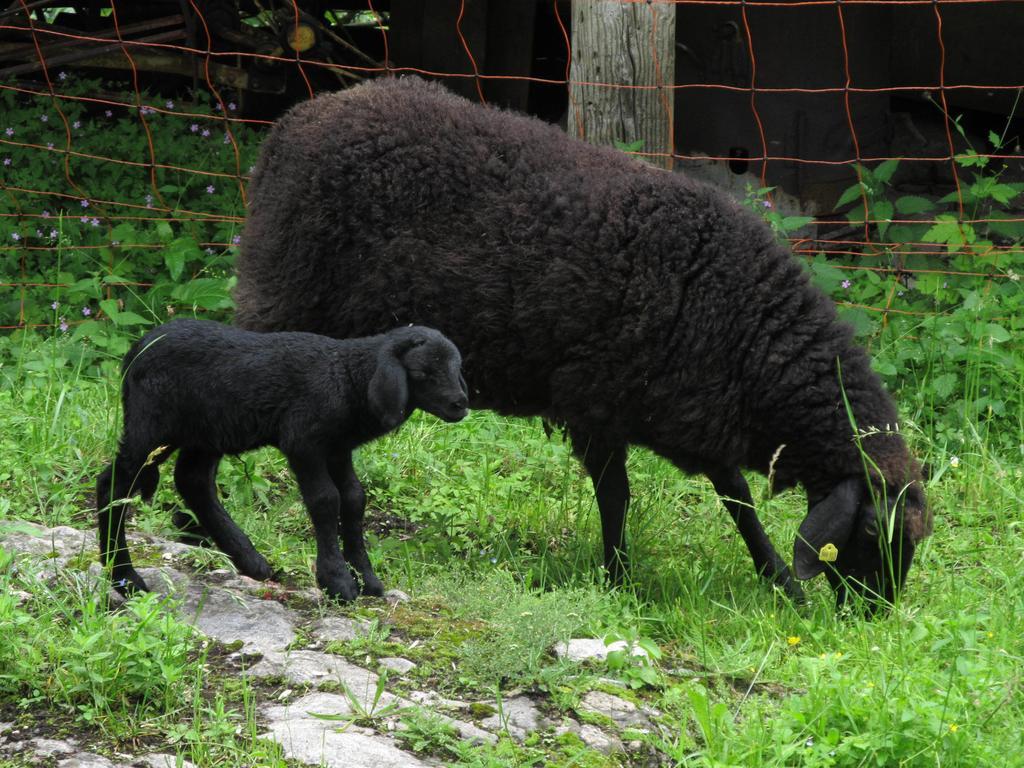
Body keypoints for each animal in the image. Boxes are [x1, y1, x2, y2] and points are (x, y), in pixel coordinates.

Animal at [94, 319, 468, 602]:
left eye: (456, 367)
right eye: (422, 372)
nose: (460, 405)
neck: (349, 377)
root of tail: (137, 349)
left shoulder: (338, 447)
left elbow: (354, 498)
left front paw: (367, 579)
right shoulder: (304, 440)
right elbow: (325, 500)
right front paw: (337, 581)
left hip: (208, 430)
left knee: (193, 480)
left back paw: (250, 561)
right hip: (152, 424)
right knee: (115, 484)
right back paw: (125, 577)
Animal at [234, 75, 937, 610]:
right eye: (872, 531)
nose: (877, 617)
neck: (749, 334)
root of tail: (297, 119)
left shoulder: (689, 411)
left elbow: (734, 497)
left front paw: (780, 580)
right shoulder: (598, 400)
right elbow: (619, 496)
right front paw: (619, 577)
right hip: (284, 293)